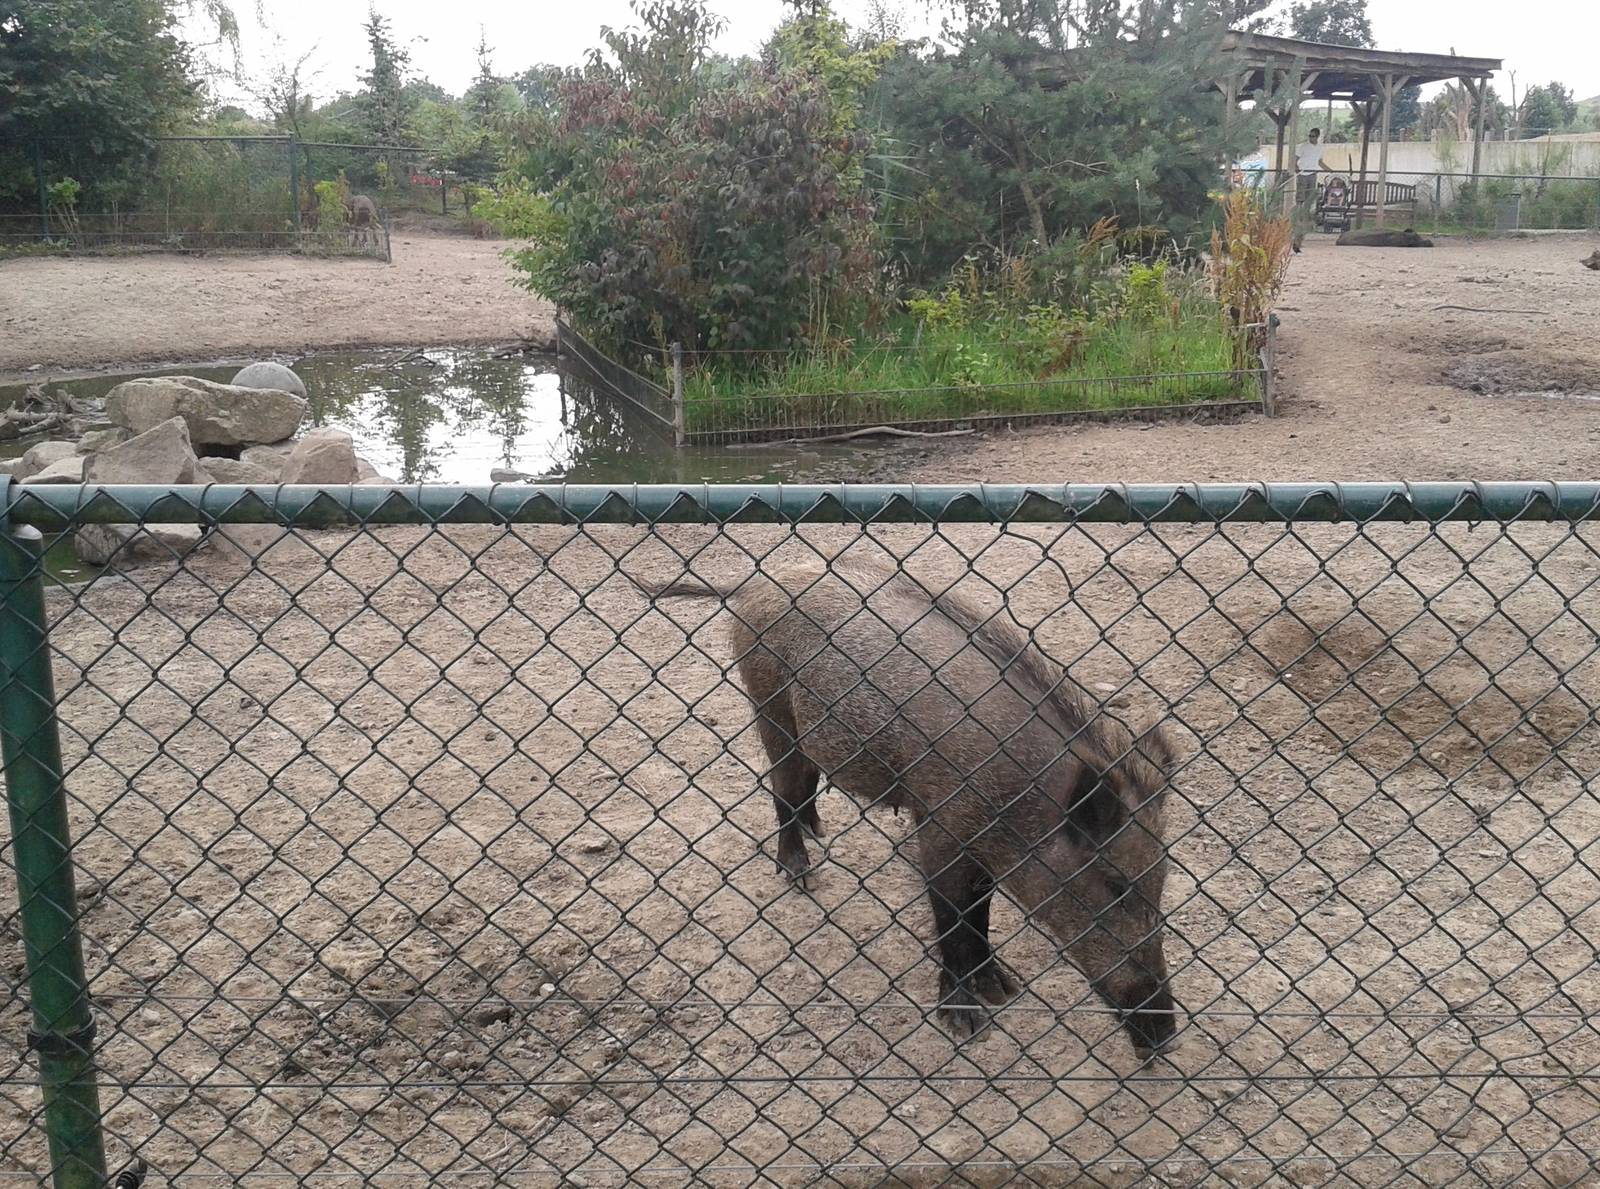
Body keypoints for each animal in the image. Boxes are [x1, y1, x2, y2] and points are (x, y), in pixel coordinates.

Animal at [644, 558, 1180, 1056]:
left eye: (1161, 883)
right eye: (1114, 885)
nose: (1165, 1039)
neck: (1022, 798)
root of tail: (757, 582)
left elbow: (980, 913)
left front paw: (1002, 990)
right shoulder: (939, 829)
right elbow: (953, 916)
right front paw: (966, 1021)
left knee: (805, 786)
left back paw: (820, 832)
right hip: (770, 709)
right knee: (782, 790)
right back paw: (800, 874)